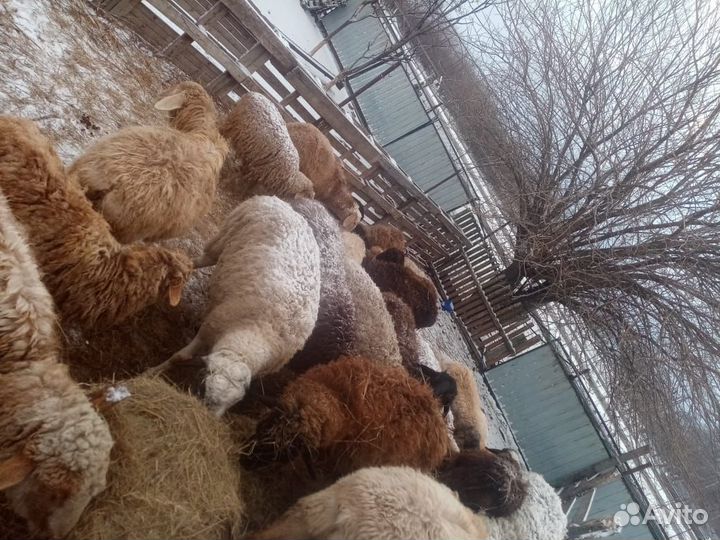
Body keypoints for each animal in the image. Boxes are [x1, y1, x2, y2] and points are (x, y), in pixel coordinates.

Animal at [159, 195, 321, 416]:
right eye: (204, 387)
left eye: (234, 403)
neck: (254, 332)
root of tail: (282, 203)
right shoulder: (209, 329)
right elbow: (179, 356)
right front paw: (152, 372)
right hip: (222, 238)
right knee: (202, 260)